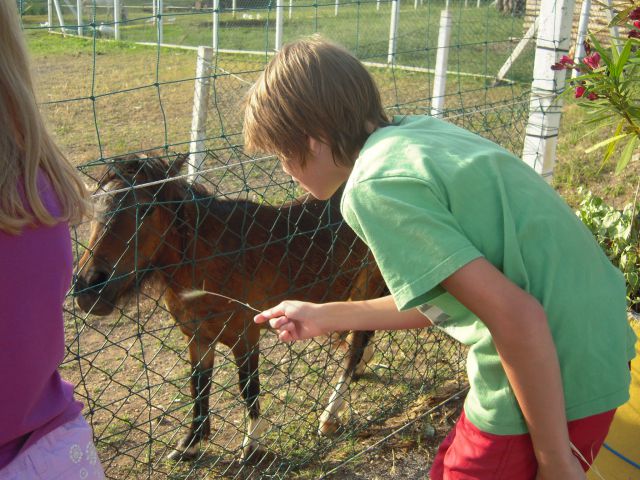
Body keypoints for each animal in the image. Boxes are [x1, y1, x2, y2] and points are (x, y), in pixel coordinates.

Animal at [74, 153, 384, 462]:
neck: (208, 260)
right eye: (93, 207)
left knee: (356, 345)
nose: (89, 287)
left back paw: (330, 415)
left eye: (146, 209)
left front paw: (252, 443)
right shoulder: (198, 338)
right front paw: (190, 443)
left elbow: (248, 387)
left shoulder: (245, 336)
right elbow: (199, 387)